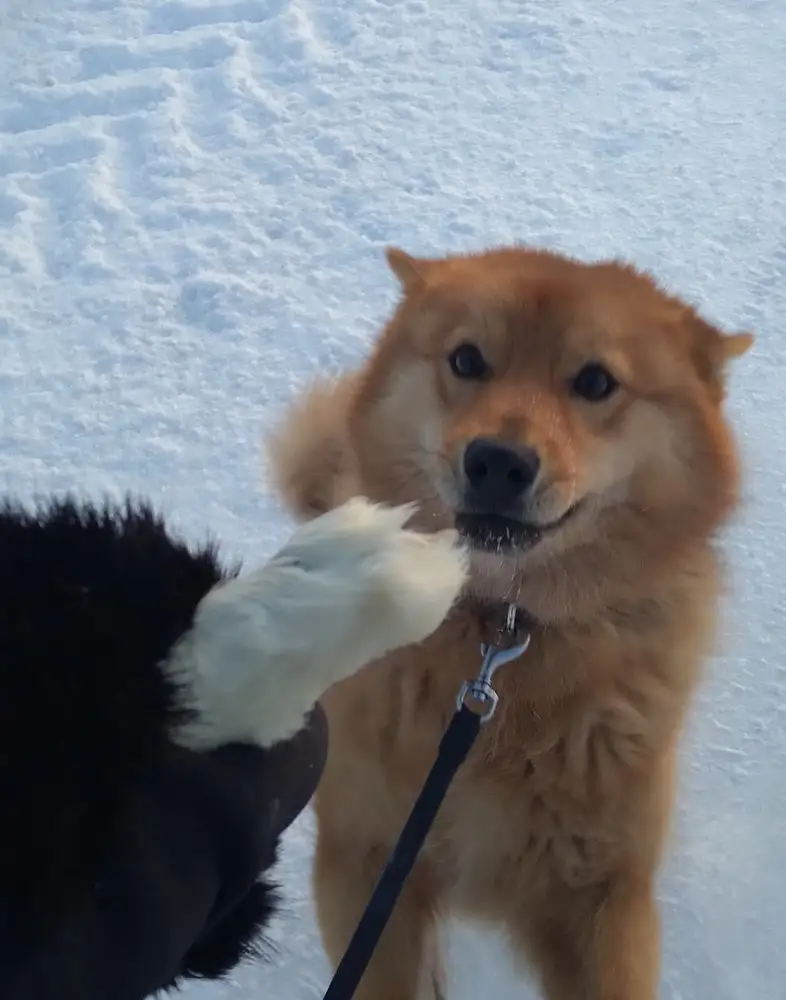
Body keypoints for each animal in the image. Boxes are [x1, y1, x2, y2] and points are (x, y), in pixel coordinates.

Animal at [266, 248, 752, 1000]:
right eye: (468, 360)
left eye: (595, 381)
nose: (498, 461)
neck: (501, 633)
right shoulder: (366, 860)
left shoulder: (602, 895)